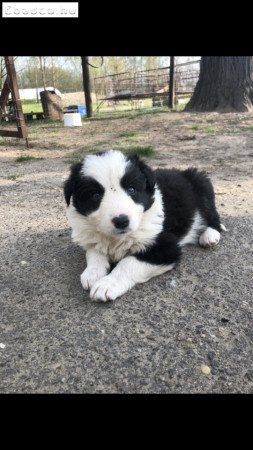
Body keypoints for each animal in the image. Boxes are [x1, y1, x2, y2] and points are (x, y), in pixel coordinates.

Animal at [63, 151, 225, 302]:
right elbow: (94, 251)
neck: (117, 238)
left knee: (214, 217)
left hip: (203, 185)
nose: (121, 221)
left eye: (131, 189)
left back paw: (209, 236)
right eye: (95, 195)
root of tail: (181, 171)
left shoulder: (165, 248)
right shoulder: (92, 236)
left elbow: (128, 263)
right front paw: (92, 273)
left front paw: (107, 284)